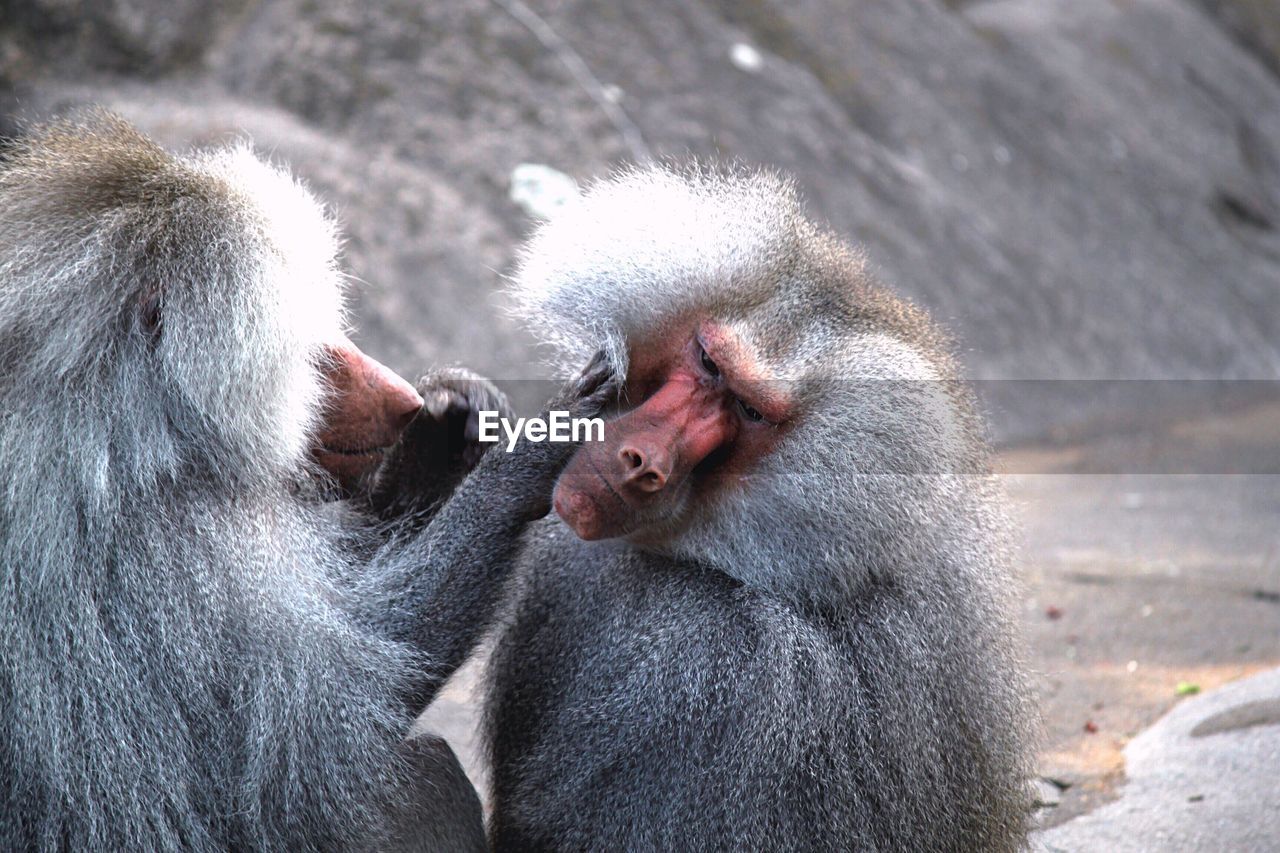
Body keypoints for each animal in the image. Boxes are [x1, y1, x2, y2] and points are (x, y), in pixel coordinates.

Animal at [0, 114, 619, 850]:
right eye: (310, 350)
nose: (406, 399)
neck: (113, 411)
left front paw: (447, 430)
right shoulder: (175, 543)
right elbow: (327, 728)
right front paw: (526, 456)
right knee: (407, 771)